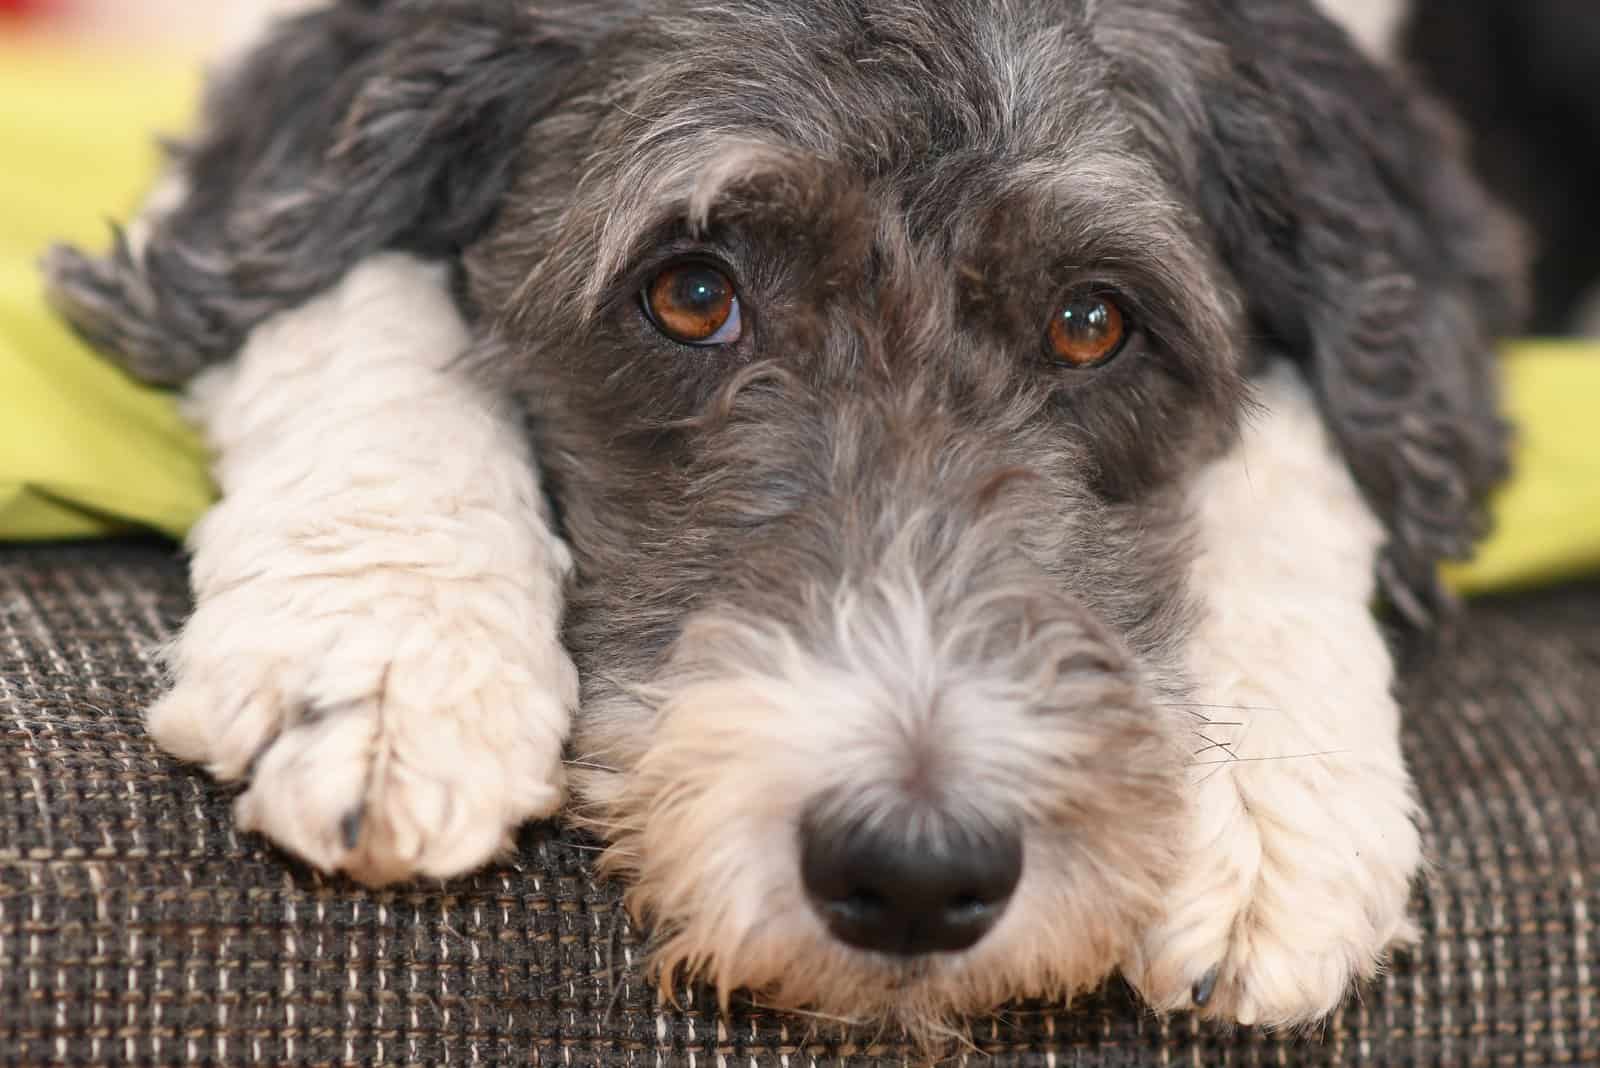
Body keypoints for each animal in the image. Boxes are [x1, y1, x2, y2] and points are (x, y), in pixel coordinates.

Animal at [46, 0, 1523, 1042]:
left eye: (1092, 322)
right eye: (692, 293)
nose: (915, 870)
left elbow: (1301, 435)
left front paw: (1268, 809)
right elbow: (350, 283)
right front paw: (391, 656)